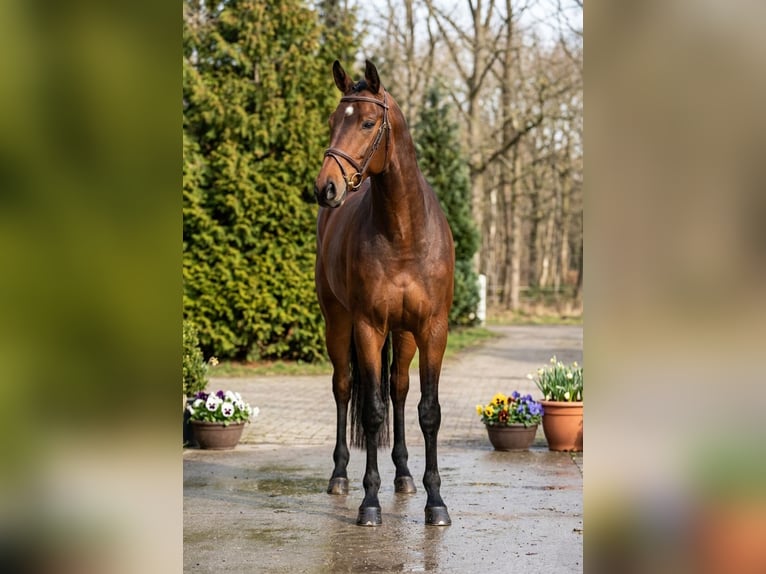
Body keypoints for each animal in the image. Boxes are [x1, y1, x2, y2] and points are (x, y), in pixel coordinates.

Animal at [313, 60, 455, 527]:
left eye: (368, 122)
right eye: (332, 121)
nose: (326, 188)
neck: (403, 233)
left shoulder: (432, 329)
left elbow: (428, 411)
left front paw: (435, 503)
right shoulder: (368, 327)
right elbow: (372, 412)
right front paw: (370, 502)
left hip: (405, 334)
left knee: (398, 388)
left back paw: (405, 475)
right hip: (338, 323)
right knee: (343, 388)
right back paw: (340, 476)